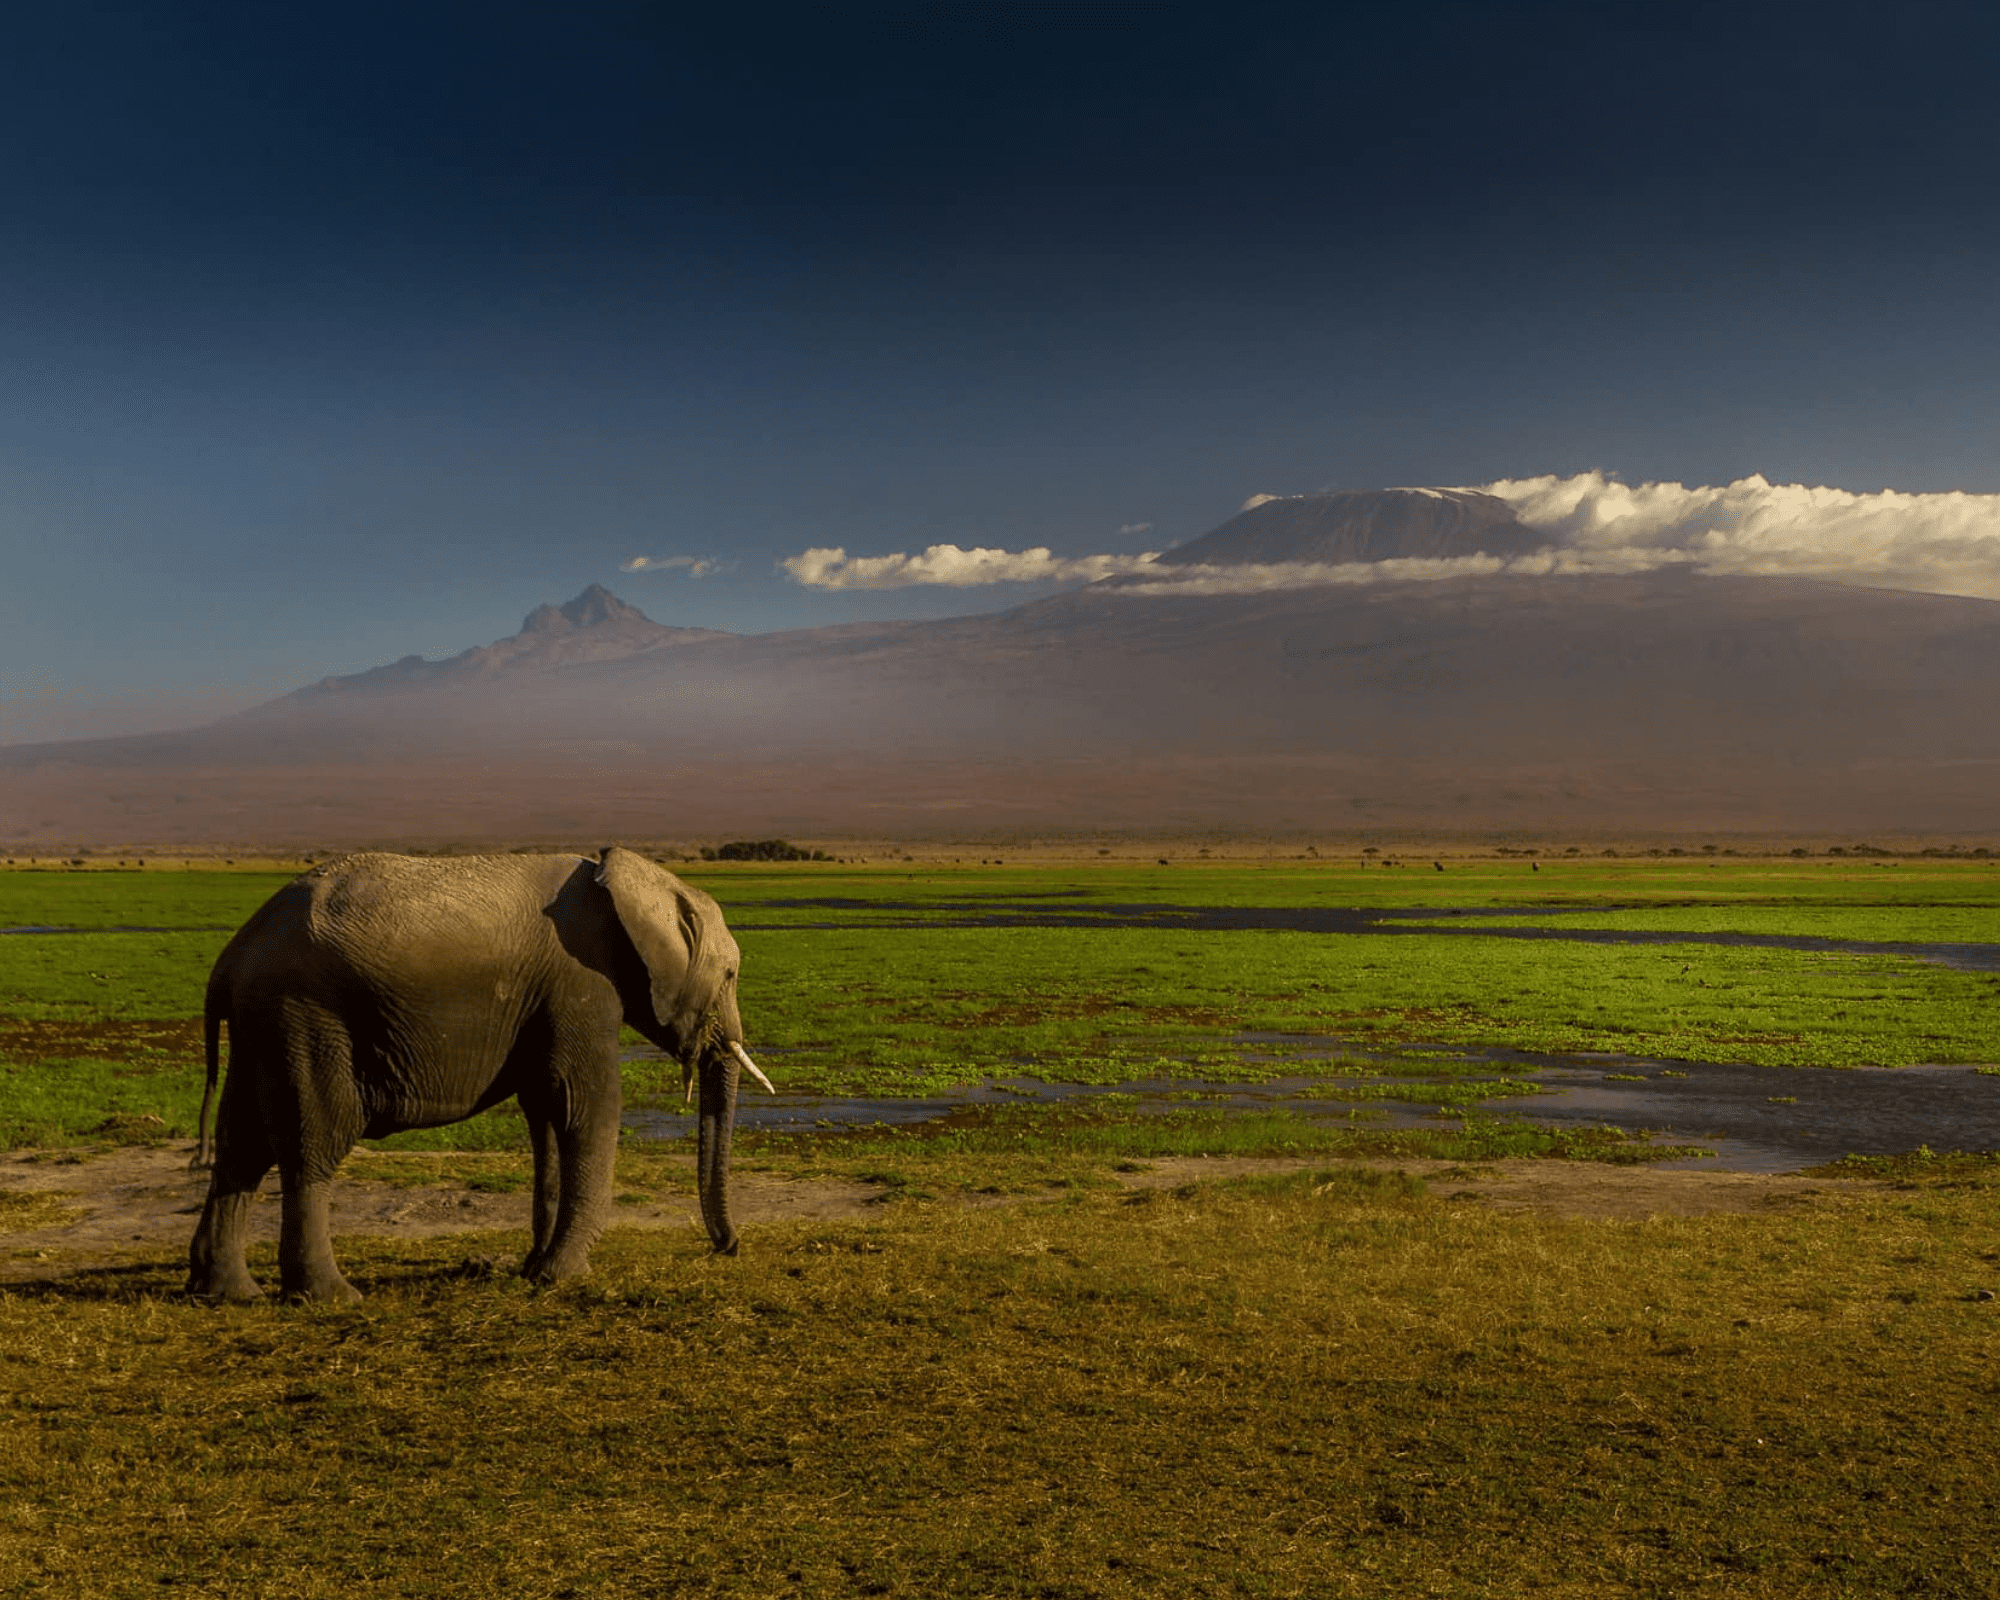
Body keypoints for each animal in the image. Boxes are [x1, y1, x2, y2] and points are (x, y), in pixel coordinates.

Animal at [184, 848, 772, 1296]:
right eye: (731, 974)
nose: (728, 1247)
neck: (631, 881)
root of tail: (229, 958)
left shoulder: (544, 1001)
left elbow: (546, 1115)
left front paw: (533, 1270)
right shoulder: (581, 984)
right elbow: (586, 1106)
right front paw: (561, 1278)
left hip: (264, 1025)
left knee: (241, 1146)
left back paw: (229, 1294)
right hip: (305, 1015)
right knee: (315, 1142)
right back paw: (331, 1296)